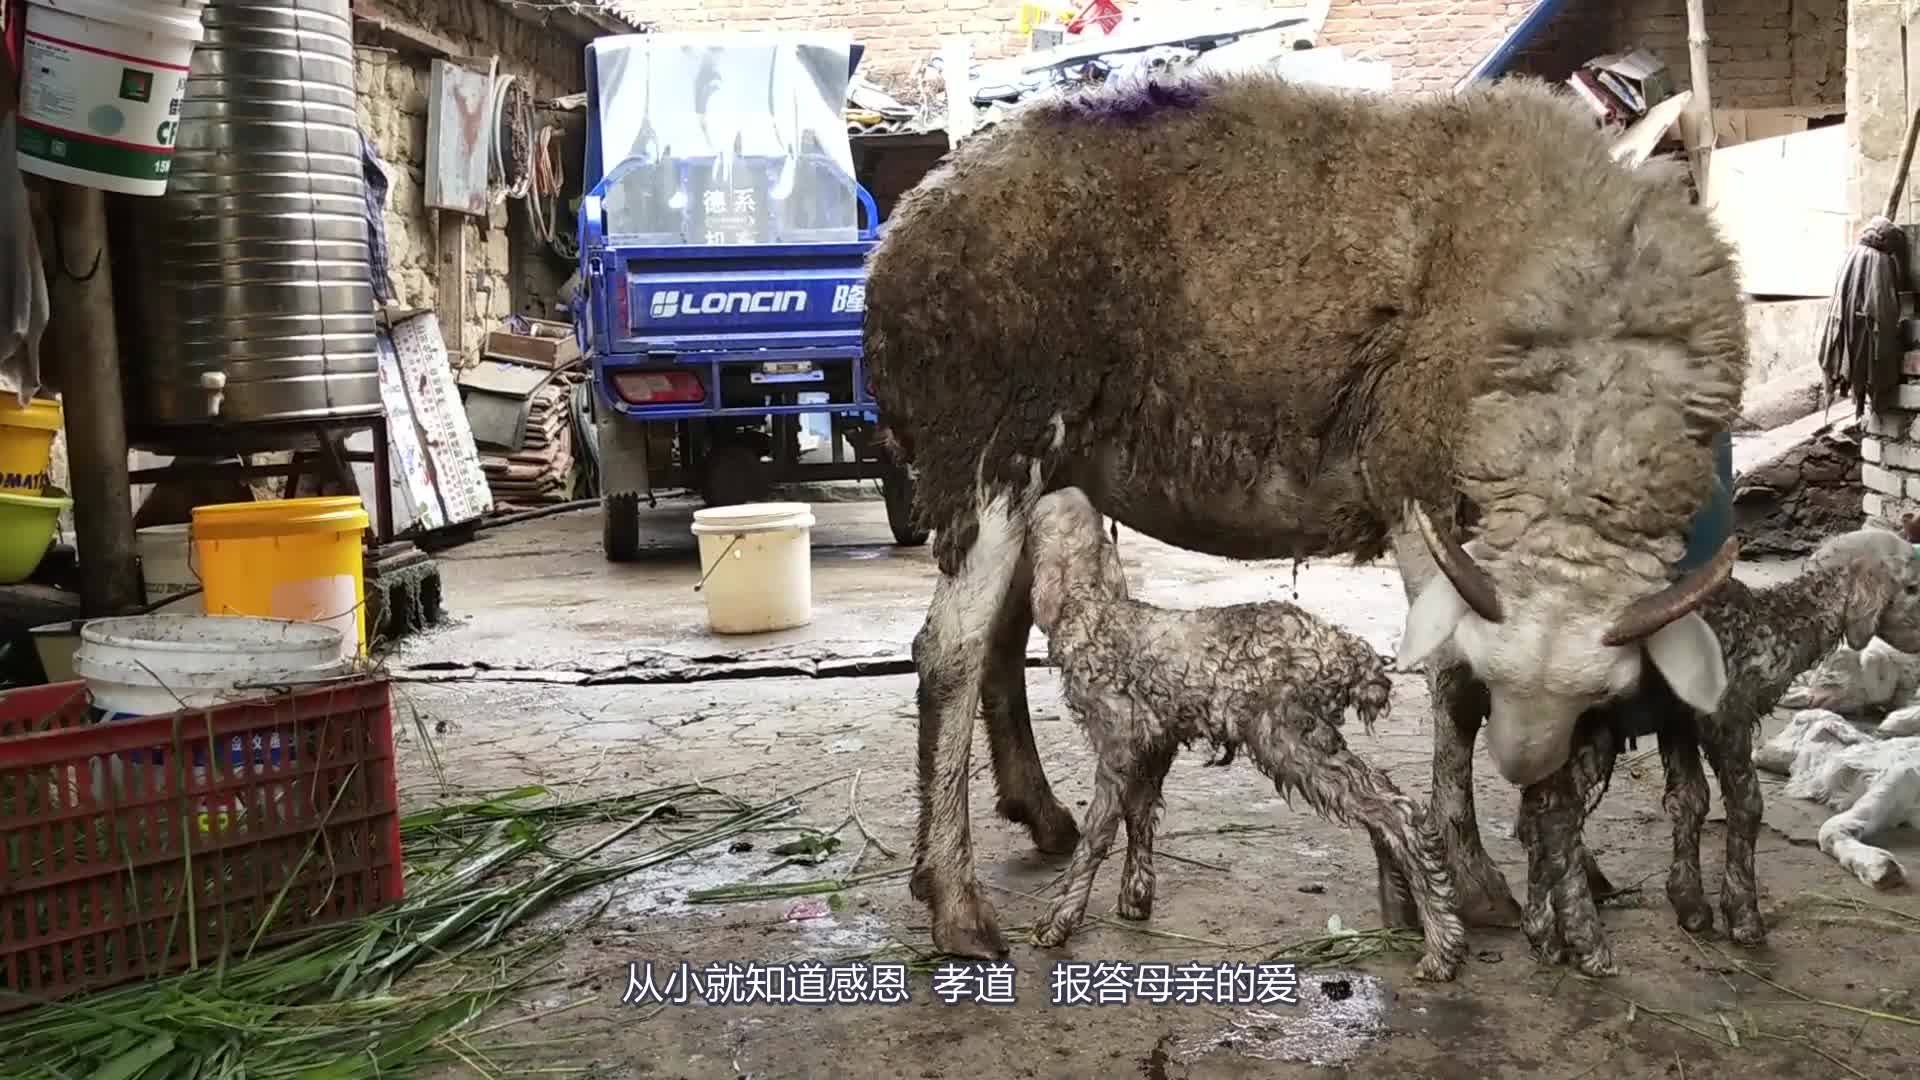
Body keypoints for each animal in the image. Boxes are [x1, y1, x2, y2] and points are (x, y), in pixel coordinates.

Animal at [1036, 486, 1466, 976]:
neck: (1094, 610)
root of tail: (1350, 653)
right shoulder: (1155, 746)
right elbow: (1140, 816)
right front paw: (1136, 897)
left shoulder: (1118, 742)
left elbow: (1098, 831)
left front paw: (1059, 920)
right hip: (1307, 735)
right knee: (1384, 801)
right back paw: (1403, 911)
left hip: (1288, 735)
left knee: (1396, 811)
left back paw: (1441, 945)